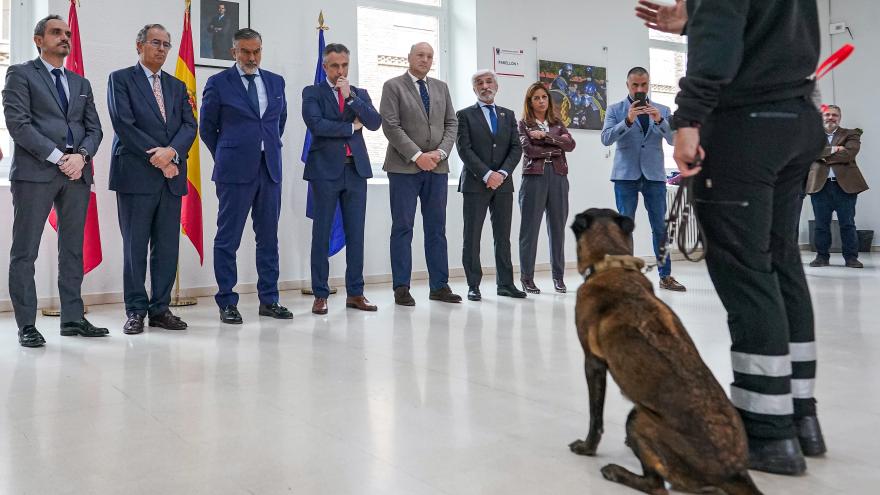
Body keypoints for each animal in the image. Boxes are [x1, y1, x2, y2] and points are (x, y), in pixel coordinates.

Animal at [568, 209, 760, 495]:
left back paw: (616, 472)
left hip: (638, 419)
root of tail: (735, 472)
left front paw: (587, 447)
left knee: (656, 485)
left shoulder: (593, 363)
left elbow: (595, 416)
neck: (612, 264)